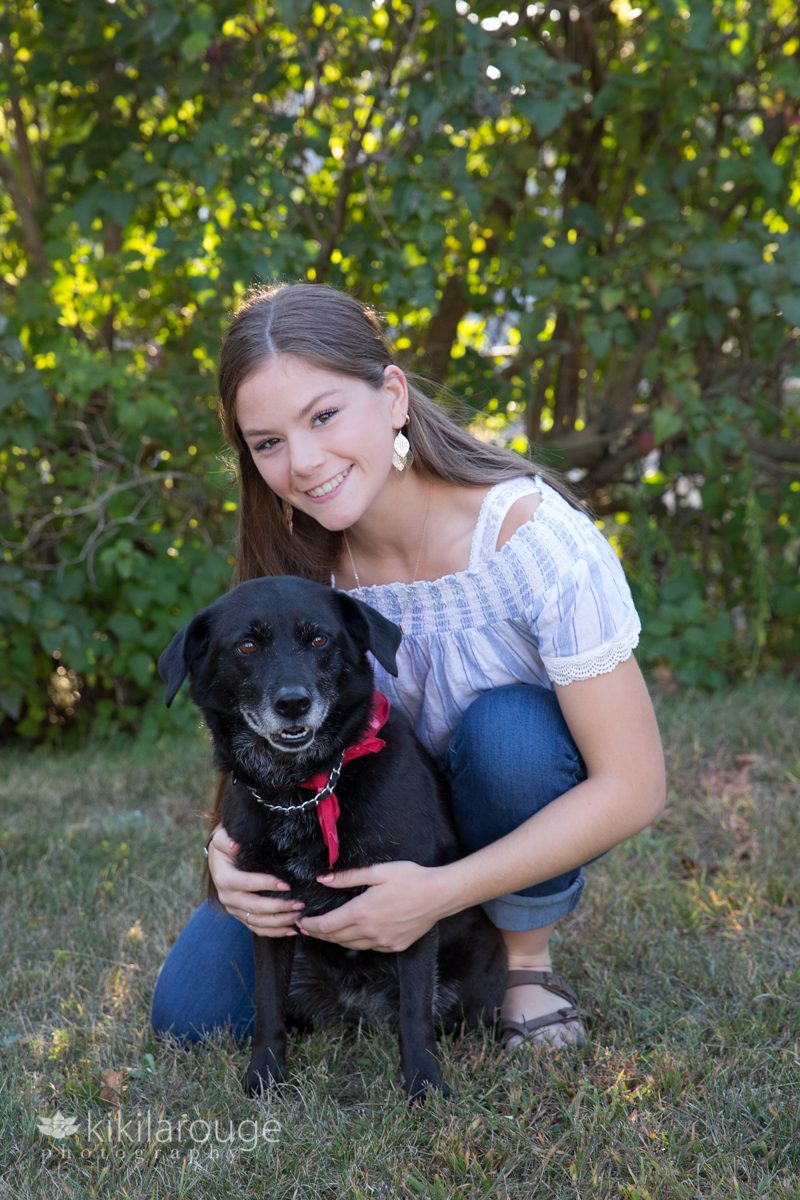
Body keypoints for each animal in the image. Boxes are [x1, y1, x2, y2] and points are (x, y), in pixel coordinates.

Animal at [158, 576, 503, 1099]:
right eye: (246, 646)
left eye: (319, 639)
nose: (292, 703)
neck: (304, 787)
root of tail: (360, 1010)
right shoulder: (269, 914)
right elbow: (268, 1008)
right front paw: (263, 1077)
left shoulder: (410, 907)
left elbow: (415, 1014)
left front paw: (425, 1086)